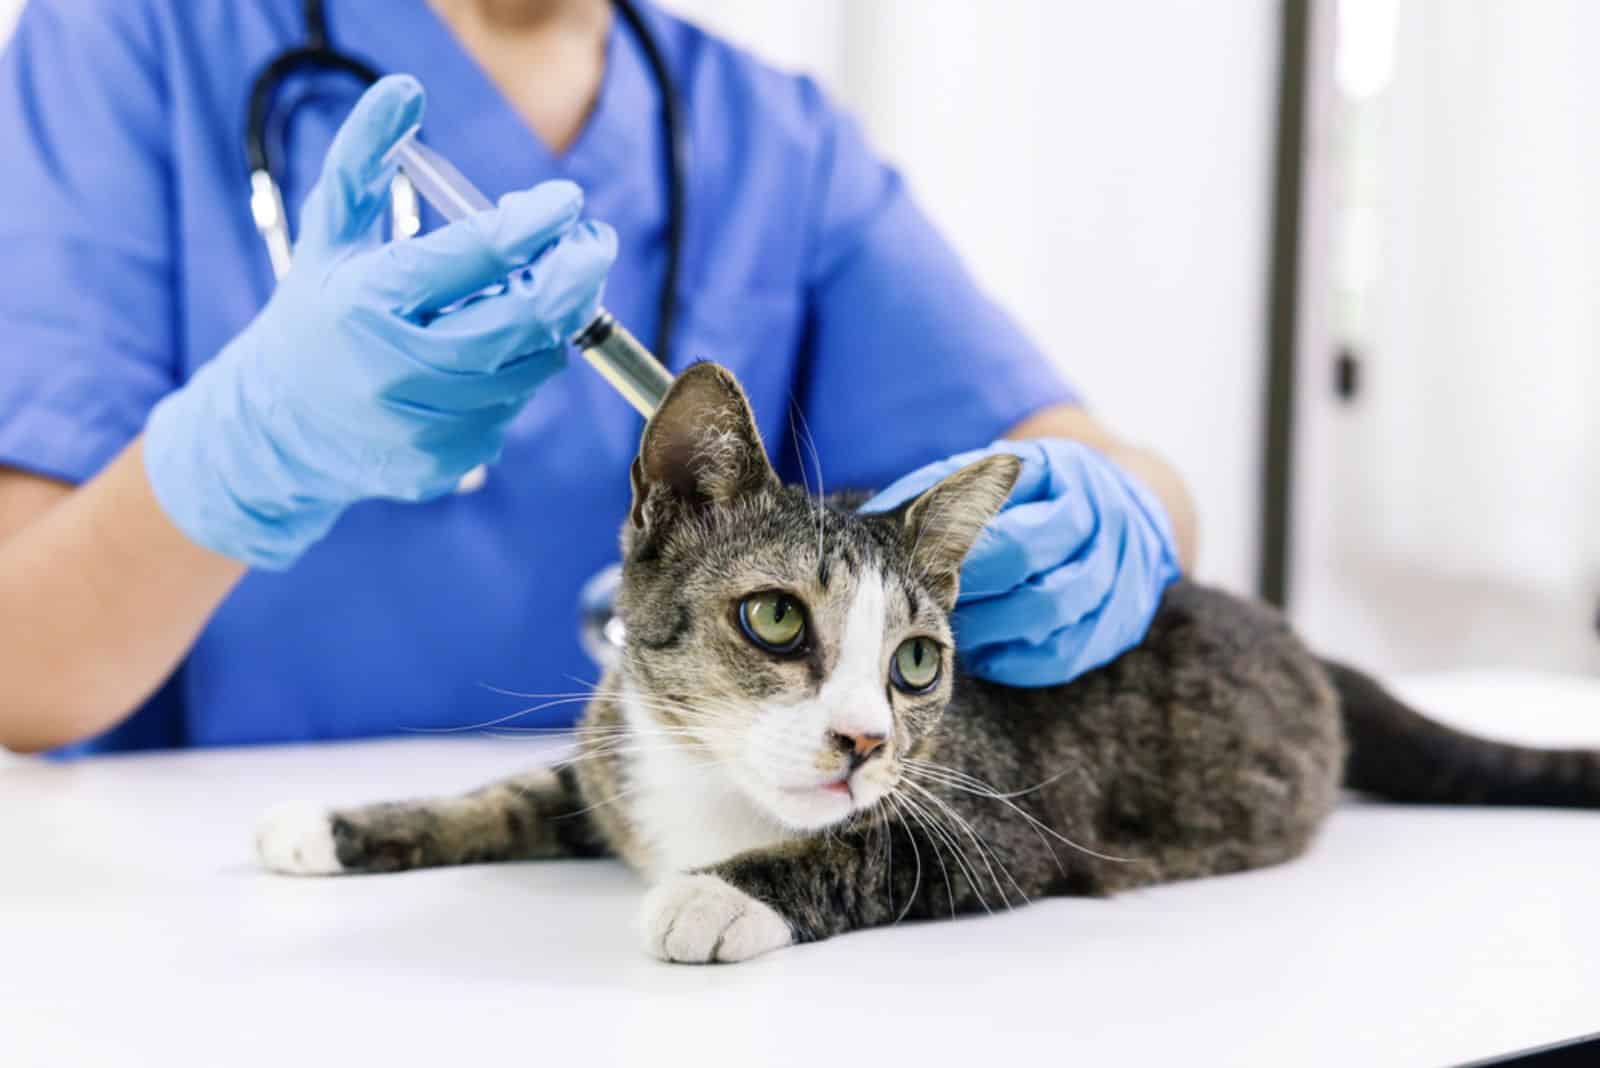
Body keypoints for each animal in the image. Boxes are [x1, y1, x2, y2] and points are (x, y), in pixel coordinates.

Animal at [256, 362, 1600, 965]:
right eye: (774, 620)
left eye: (913, 663)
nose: (863, 741)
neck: (712, 790)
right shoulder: (615, 751)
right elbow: (517, 791)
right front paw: (338, 824)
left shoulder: (999, 823)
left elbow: (869, 854)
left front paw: (720, 892)